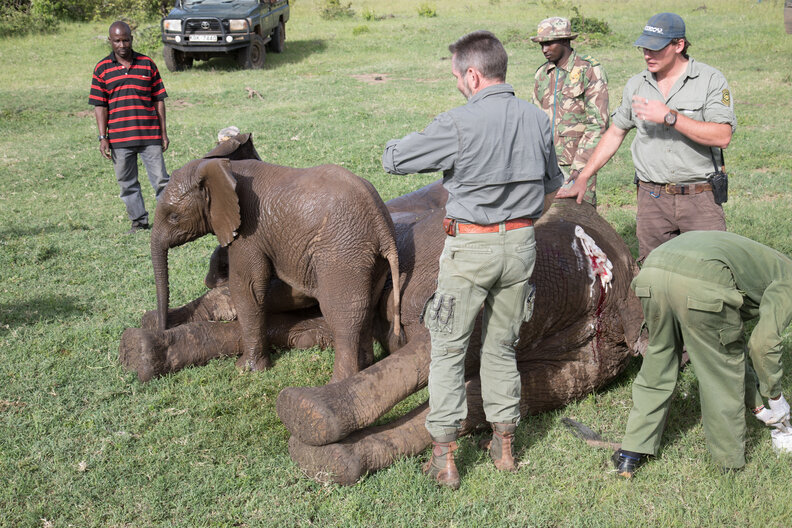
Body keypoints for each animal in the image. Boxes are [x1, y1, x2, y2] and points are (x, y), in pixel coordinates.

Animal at [145, 135, 401, 383]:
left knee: (344, 315)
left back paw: (338, 382)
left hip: (342, 253)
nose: (162, 329)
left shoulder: (249, 230)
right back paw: (365, 366)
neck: (224, 169)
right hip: (368, 258)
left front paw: (246, 369)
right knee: (367, 307)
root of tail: (381, 224)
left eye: (174, 217)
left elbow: (246, 287)